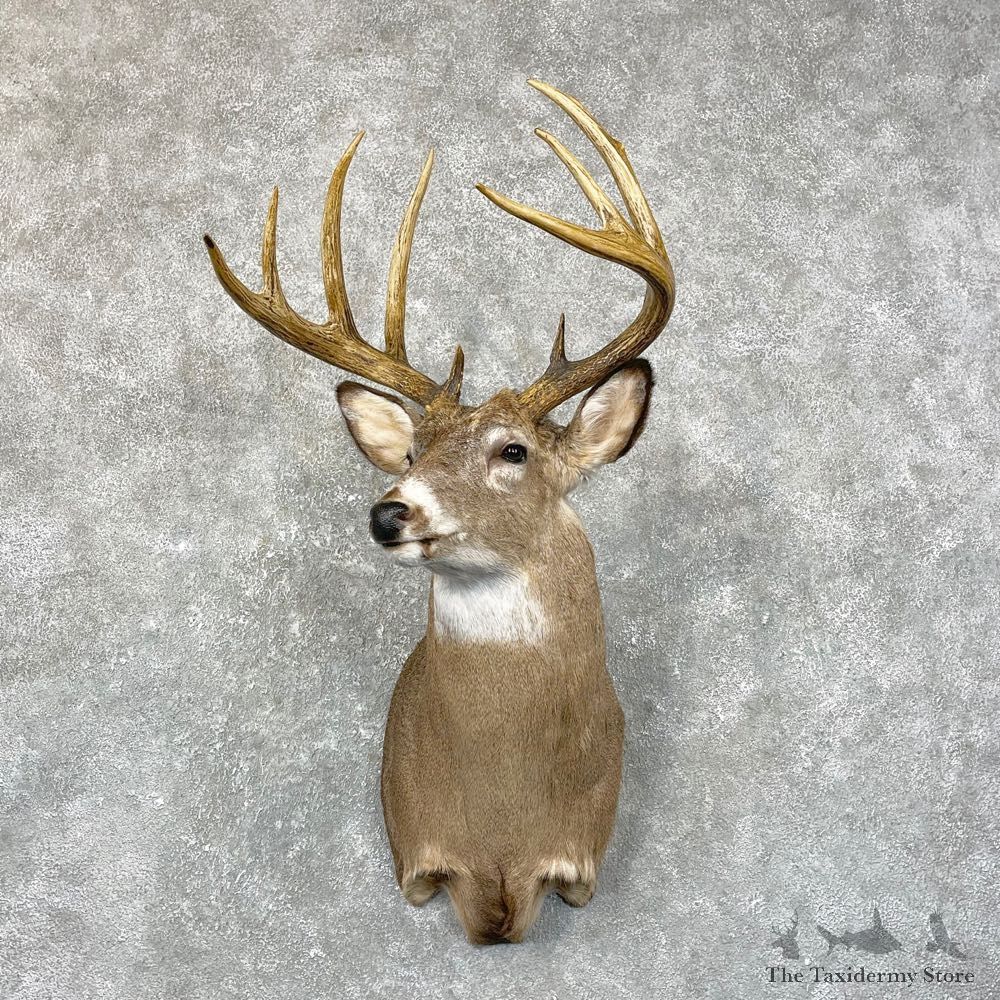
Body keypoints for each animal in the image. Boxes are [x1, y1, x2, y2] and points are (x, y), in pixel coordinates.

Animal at [203, 80, 675, 944]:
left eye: (513, 451)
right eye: (412, 453)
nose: (389, 513)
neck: (501, 833)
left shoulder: (580, 861)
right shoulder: (420, 858)